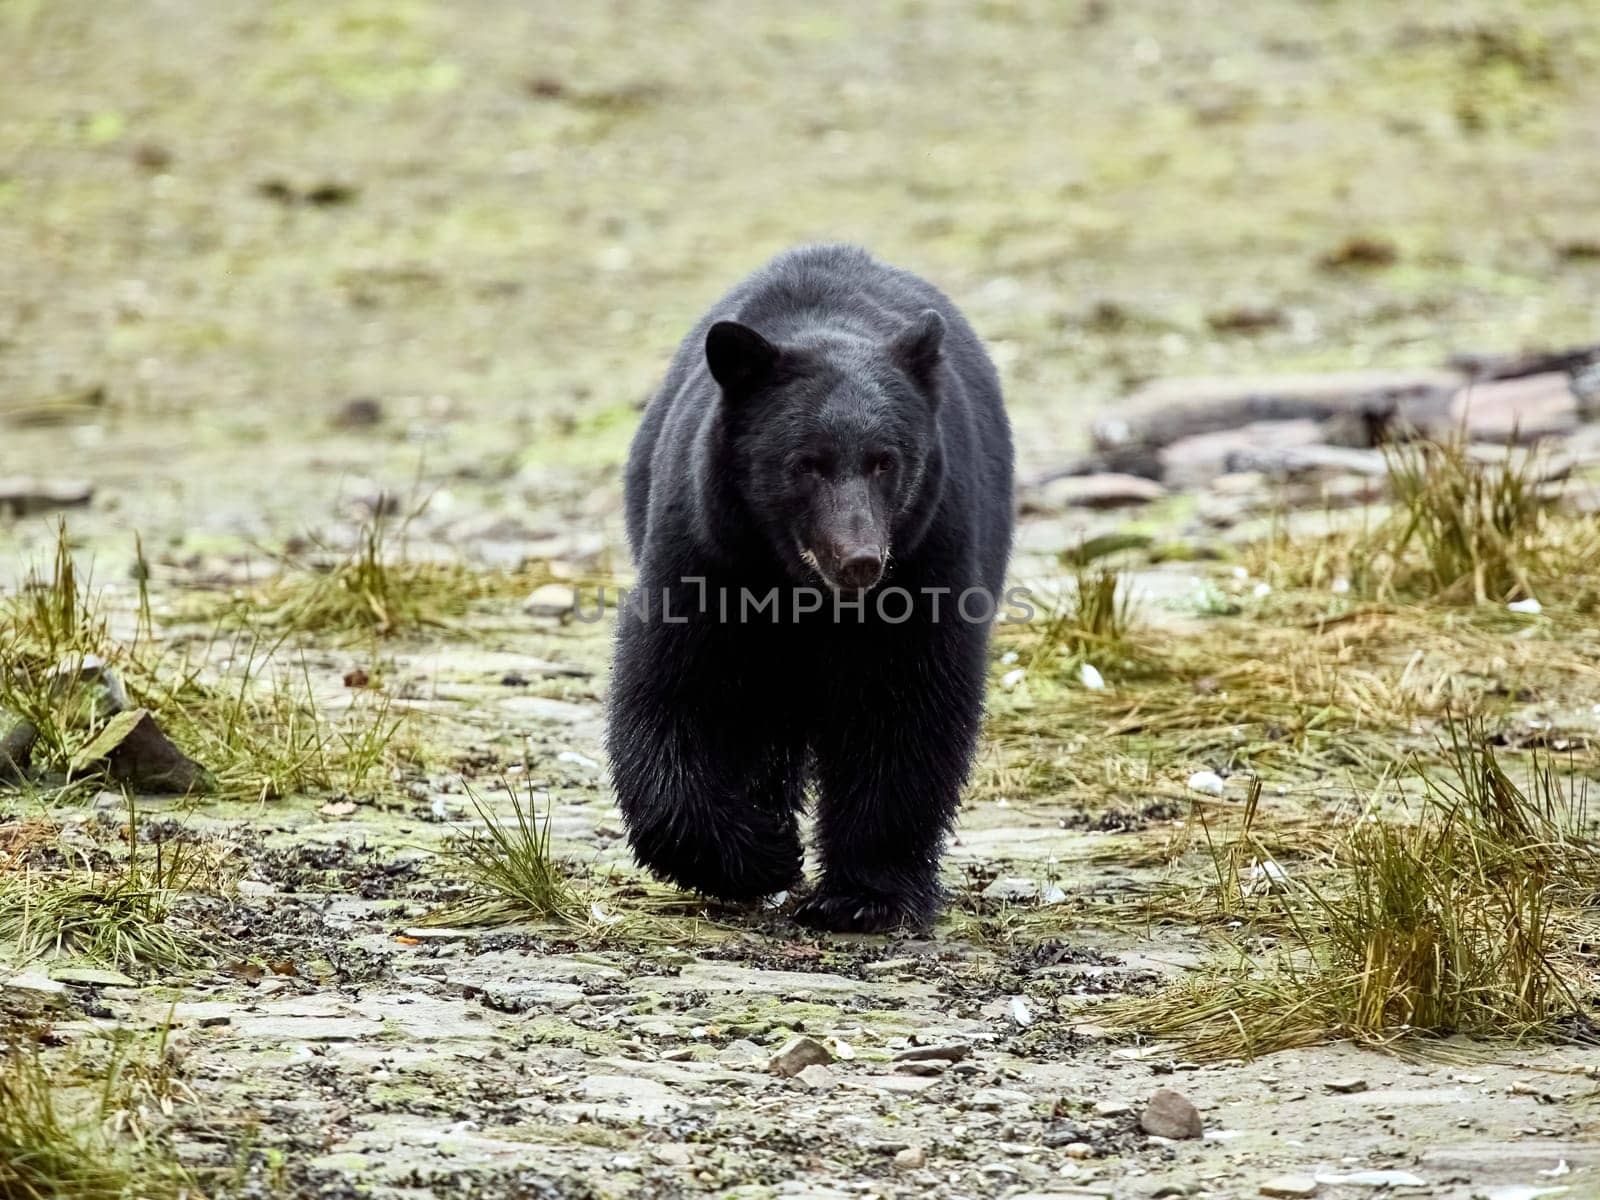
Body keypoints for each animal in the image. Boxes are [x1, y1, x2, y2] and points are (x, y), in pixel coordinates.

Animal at [604, 244, 1004, 934]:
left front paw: (862, 895)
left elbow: (907, 708)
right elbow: (673, 689)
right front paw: (760, 855)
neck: (803, 595)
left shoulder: (930, 555)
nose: (860, 561)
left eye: (885, 460)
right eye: (805, 463)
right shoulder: (709, 551)